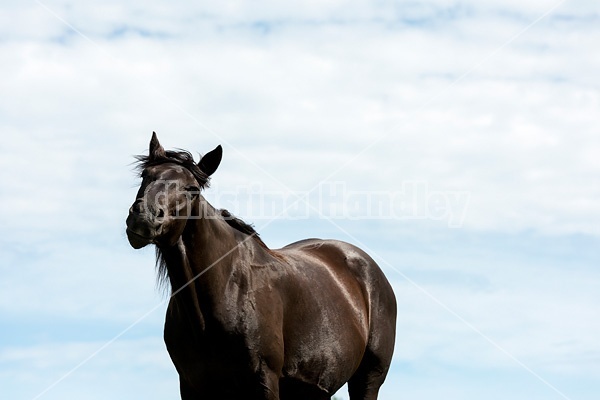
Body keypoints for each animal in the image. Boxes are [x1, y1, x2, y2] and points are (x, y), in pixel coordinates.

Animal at [125, 133, 398, 398]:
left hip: (367, 379)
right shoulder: (192, 386)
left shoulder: (263, 379)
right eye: (145, 175)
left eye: (192, 189)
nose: (144, 218)